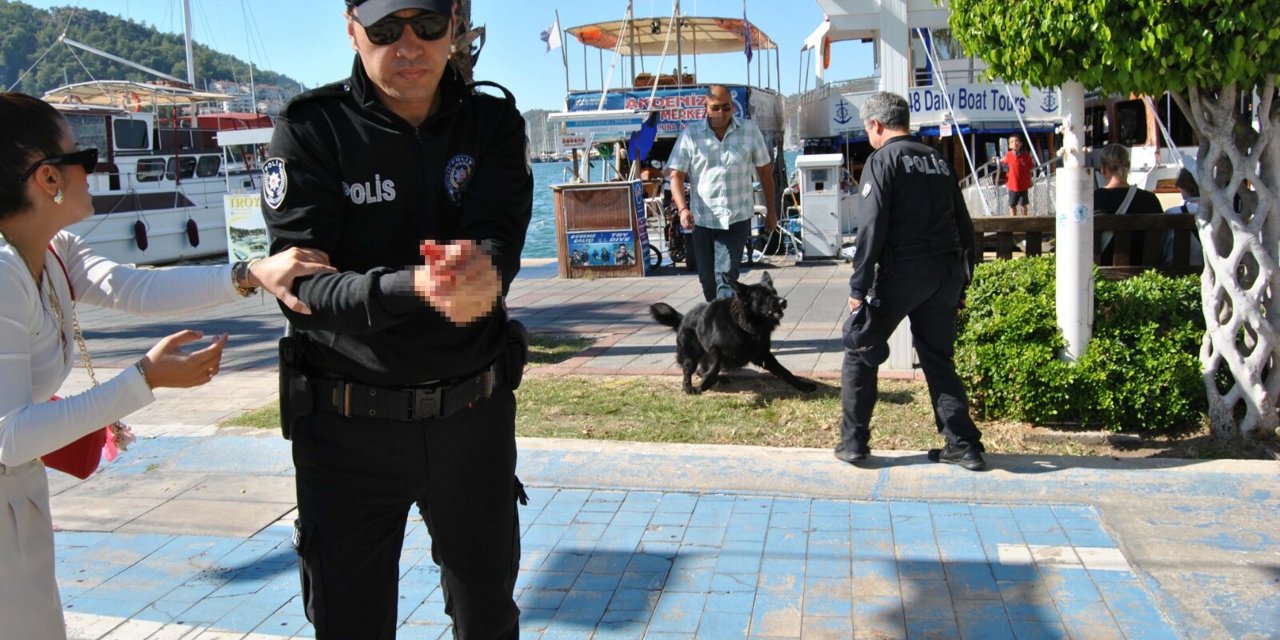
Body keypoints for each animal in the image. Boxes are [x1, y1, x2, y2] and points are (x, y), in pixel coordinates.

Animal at [650, 271, 819, 394]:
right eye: (764, 296)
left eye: (775, 292)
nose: (783, 301)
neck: (747, 325)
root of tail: (683, 317)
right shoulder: (715, 349)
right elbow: (714, 367)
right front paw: (704, 385)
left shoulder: (763, 354)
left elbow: (785, 371)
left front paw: (802, 385)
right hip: (691, 353)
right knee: (688, 370)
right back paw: (689, 387)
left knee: (699, 369)